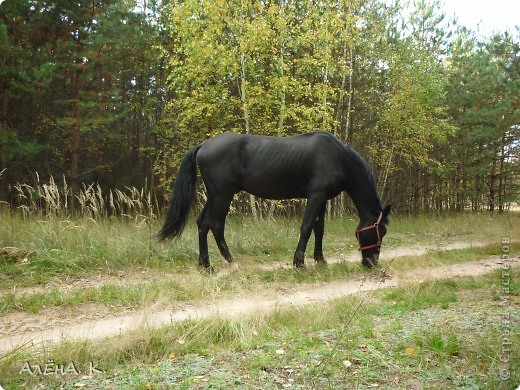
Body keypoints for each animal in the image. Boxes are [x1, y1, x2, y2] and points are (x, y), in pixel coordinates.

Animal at [158, 131, 390, 272]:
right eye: (380, 230)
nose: (371, 262)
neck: (338, 158)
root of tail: (204, 145)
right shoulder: (316, 195)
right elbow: (307, 227)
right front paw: (299, 263)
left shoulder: (323, 198)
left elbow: (320, 228)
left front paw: (320, 260)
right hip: (223, 195)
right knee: (214, 225)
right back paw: (227, 263)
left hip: (215, 196)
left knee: (202, 223)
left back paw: (206, 264)